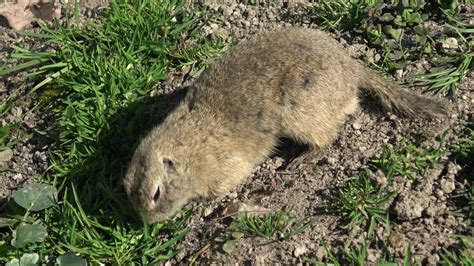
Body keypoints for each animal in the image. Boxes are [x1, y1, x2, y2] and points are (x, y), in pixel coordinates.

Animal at [123, 27, 448, 224]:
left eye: (156, 193)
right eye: (129, 194)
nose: (150, 224)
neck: (186, 149)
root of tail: (352, 67)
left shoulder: (222, 168)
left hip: (301, 113)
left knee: (327, 136)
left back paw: (300, 160)